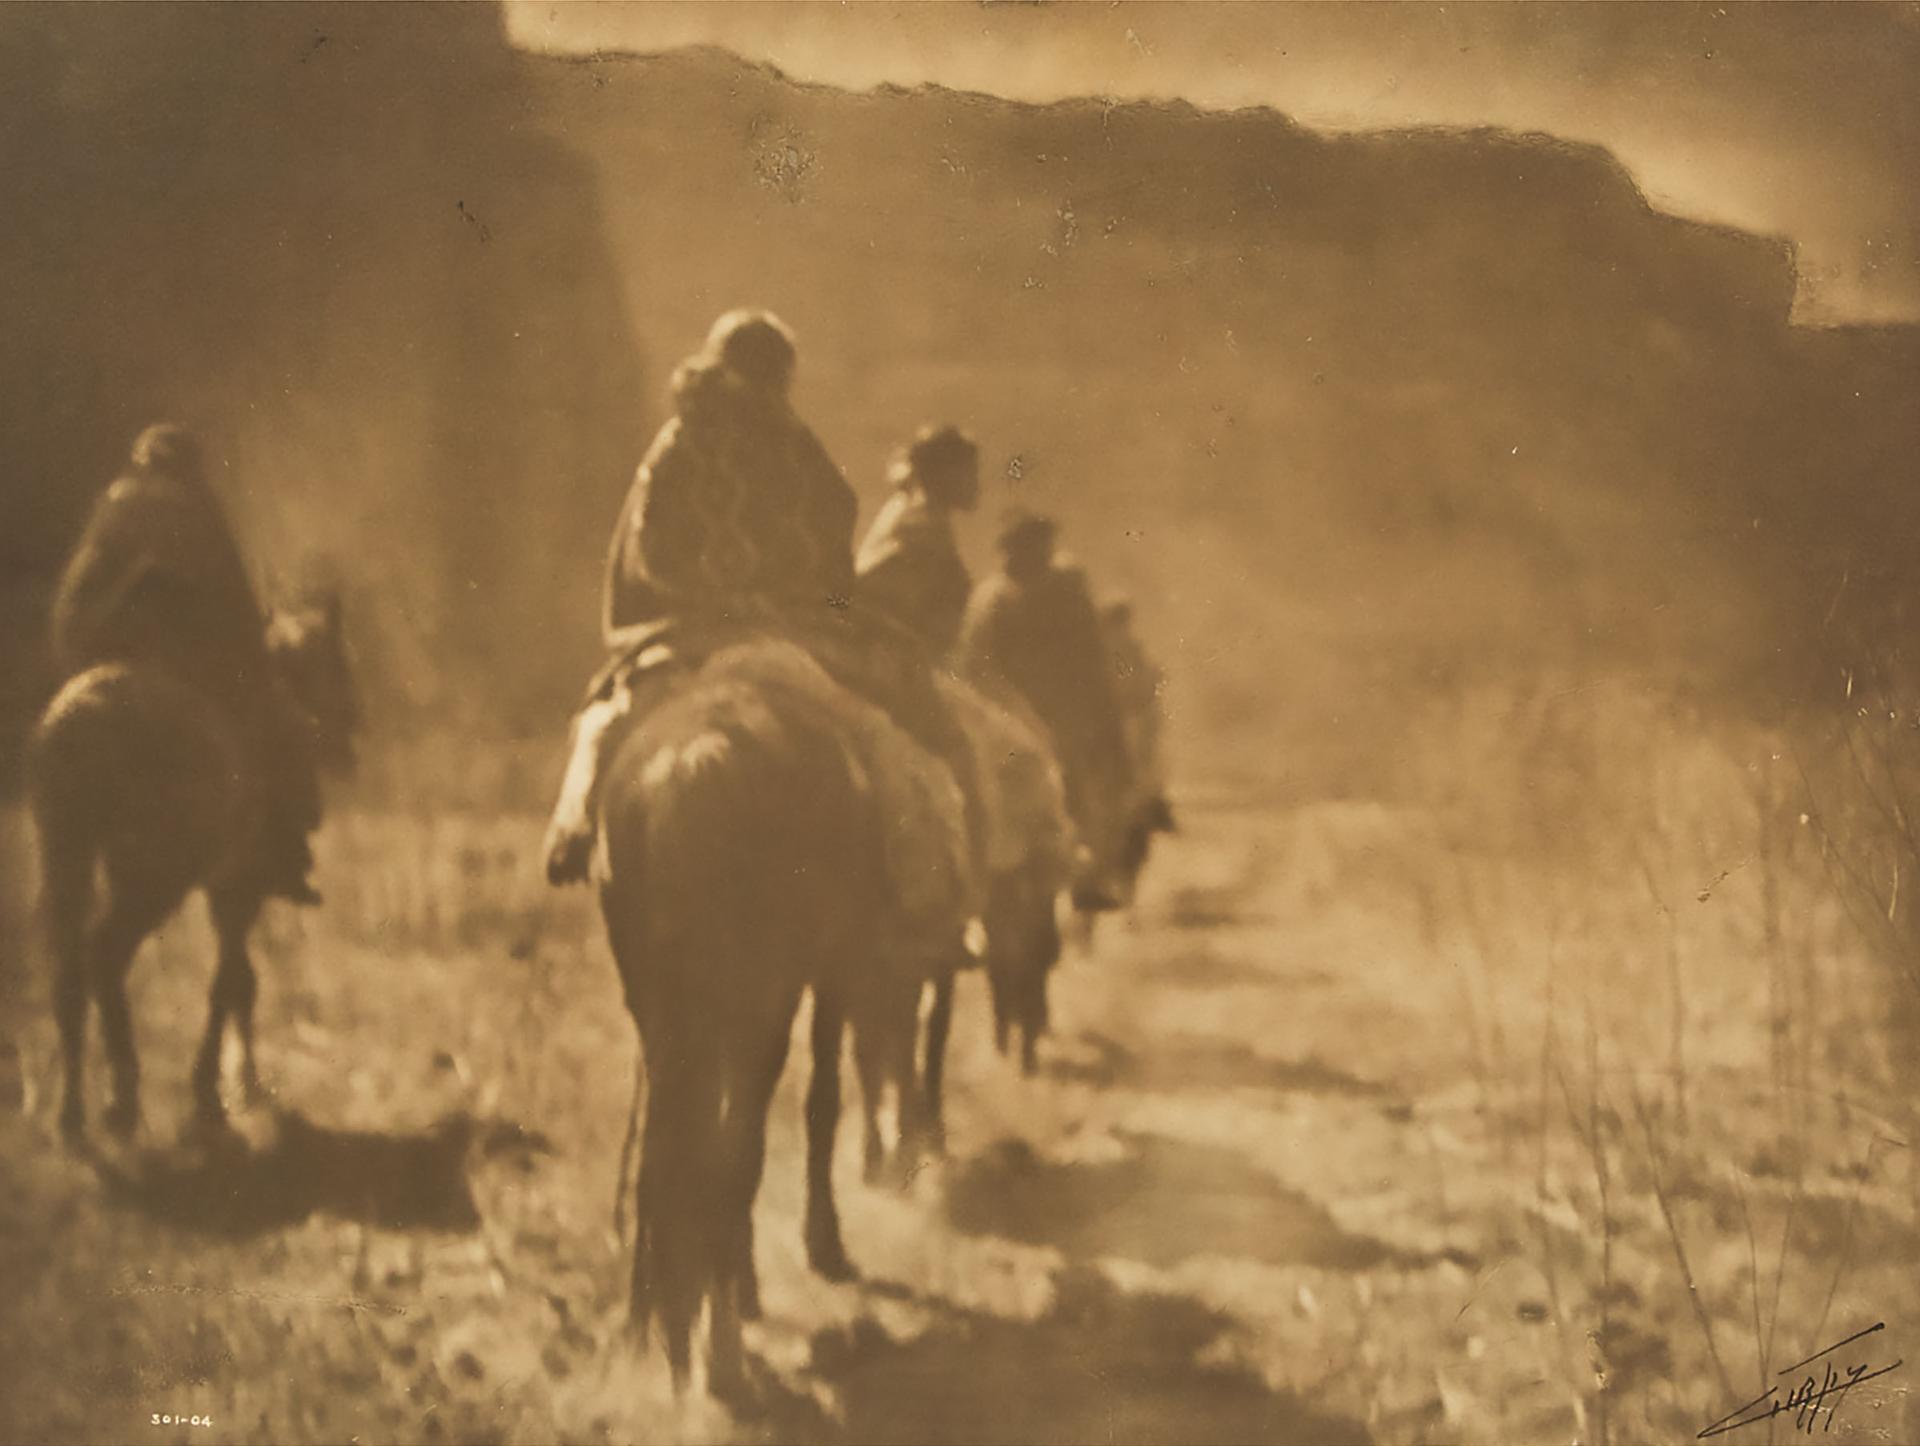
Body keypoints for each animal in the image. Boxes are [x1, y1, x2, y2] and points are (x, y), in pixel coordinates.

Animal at [25, 591, 357, 1136]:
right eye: (339, 663)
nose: (349, 737)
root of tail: (87, 720)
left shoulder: (223, 891)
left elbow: (238, 980)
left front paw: (238, 1085)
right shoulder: (238, 890)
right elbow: (231, 982)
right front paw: (215, 1092)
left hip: (68, 858)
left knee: (69, 968)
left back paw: (72, 1113)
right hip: (153, 882)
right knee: (104, 954)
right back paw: (122, 1102)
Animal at [591, 633, 967, 1390]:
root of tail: (692, 770)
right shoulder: (828, 974)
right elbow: (818, 1103)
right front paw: (820, 1247)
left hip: (666, 1009)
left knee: (669, 1158)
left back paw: (674, 1328)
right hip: (759, 999)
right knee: (729, 1147)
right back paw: (722, 1346)